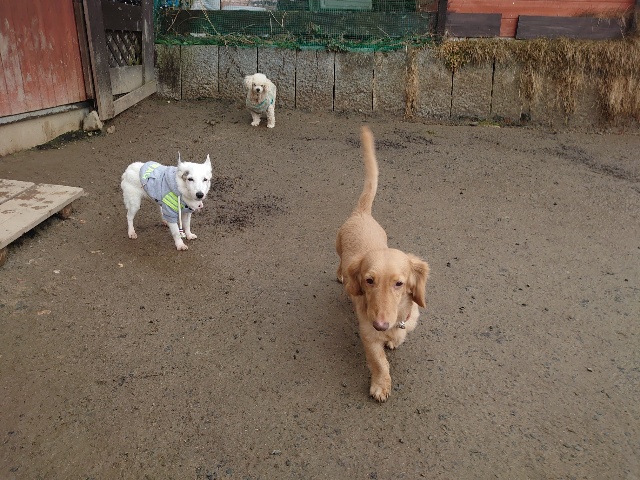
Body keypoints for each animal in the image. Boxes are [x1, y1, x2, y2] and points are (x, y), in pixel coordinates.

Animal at [336, 126, 430, 402]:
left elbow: (399, 338)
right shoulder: (368, 335)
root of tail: (362, 213)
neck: (397, 317)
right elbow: (380, 363)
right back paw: (340, 274)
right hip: (337, 246)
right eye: (369, 281)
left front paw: (394, 340)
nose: (380, 325)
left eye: (399, 283)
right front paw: (380, 385)